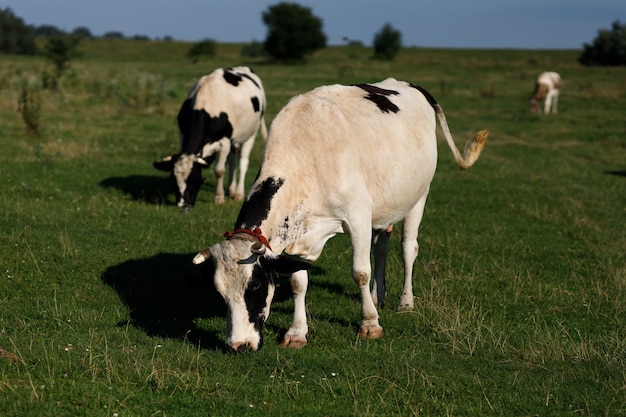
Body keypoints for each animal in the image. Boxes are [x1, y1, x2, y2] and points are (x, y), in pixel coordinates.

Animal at [155, 67, 266, 210]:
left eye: (194, 180)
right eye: (172, 180)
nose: (182, 204)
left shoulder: (224, 141)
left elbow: (219, 170)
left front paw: (219, 198)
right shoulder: (183, 134)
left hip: (251, 134)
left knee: (243, 162)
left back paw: (238, 193)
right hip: (235, 139)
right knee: (233, 160)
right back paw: (231, 189)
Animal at [193, 79, 486, 352]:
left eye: (254, 286)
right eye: (220, 292)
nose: (238, 345)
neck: (305, 157)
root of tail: (409, 85)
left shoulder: (358, 216)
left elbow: (360, 272)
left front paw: (370, 324)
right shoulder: (301, 236)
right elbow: (299, 281)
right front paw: (297, 332)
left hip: (418, 196)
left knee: (408, 249)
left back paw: (405, 301)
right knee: (382, 248)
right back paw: (377, 297)